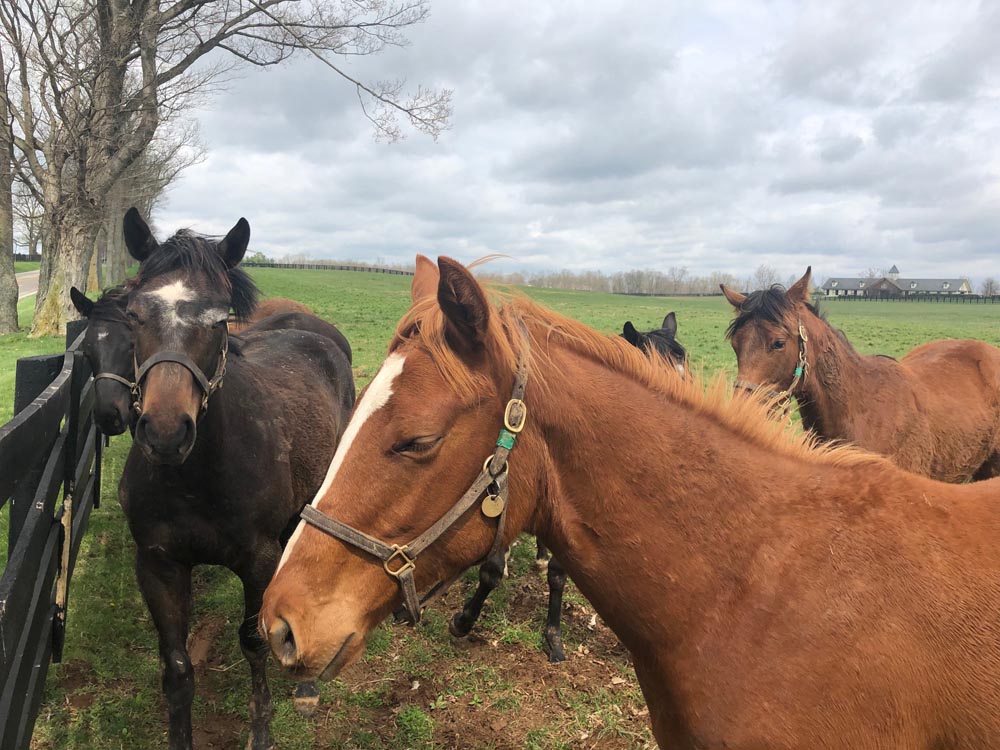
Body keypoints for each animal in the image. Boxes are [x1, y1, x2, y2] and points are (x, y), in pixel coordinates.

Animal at [115, 210, 356, 750]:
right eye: (134, 314)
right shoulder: (156, 564)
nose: (165, 432)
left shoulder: (257, 560)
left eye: (221, 319)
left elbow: (253, 642)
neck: (195, 480)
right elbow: (177, 666)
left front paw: (261, 728)